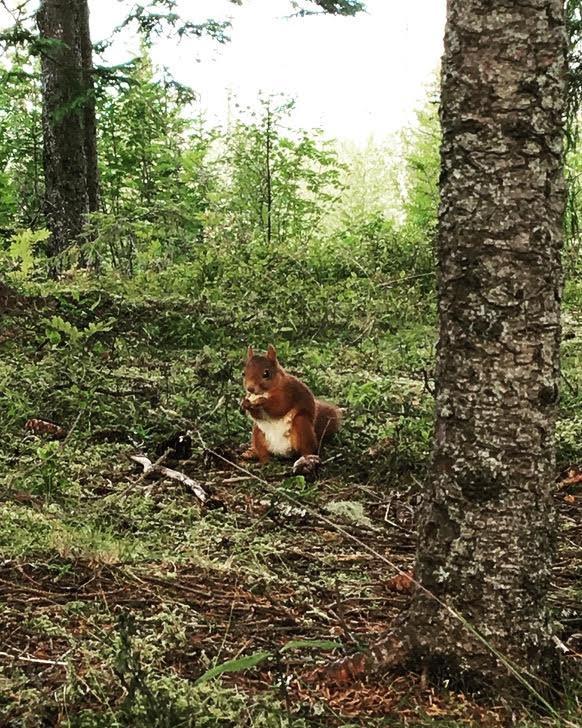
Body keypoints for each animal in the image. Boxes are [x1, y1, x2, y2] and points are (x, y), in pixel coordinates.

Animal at [242, 346, 342, 474]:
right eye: (243, 373)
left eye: (266, 373)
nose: (250, 388)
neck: (267, 391)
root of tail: (281, 450)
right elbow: (257, 415)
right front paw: (244, 403)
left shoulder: (288, 393)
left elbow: (279, 407)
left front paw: (261, 401)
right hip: (258, 433)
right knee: (264, 454)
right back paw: (256, 457)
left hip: (302, 425)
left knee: (307, 448)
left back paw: (306, 461)